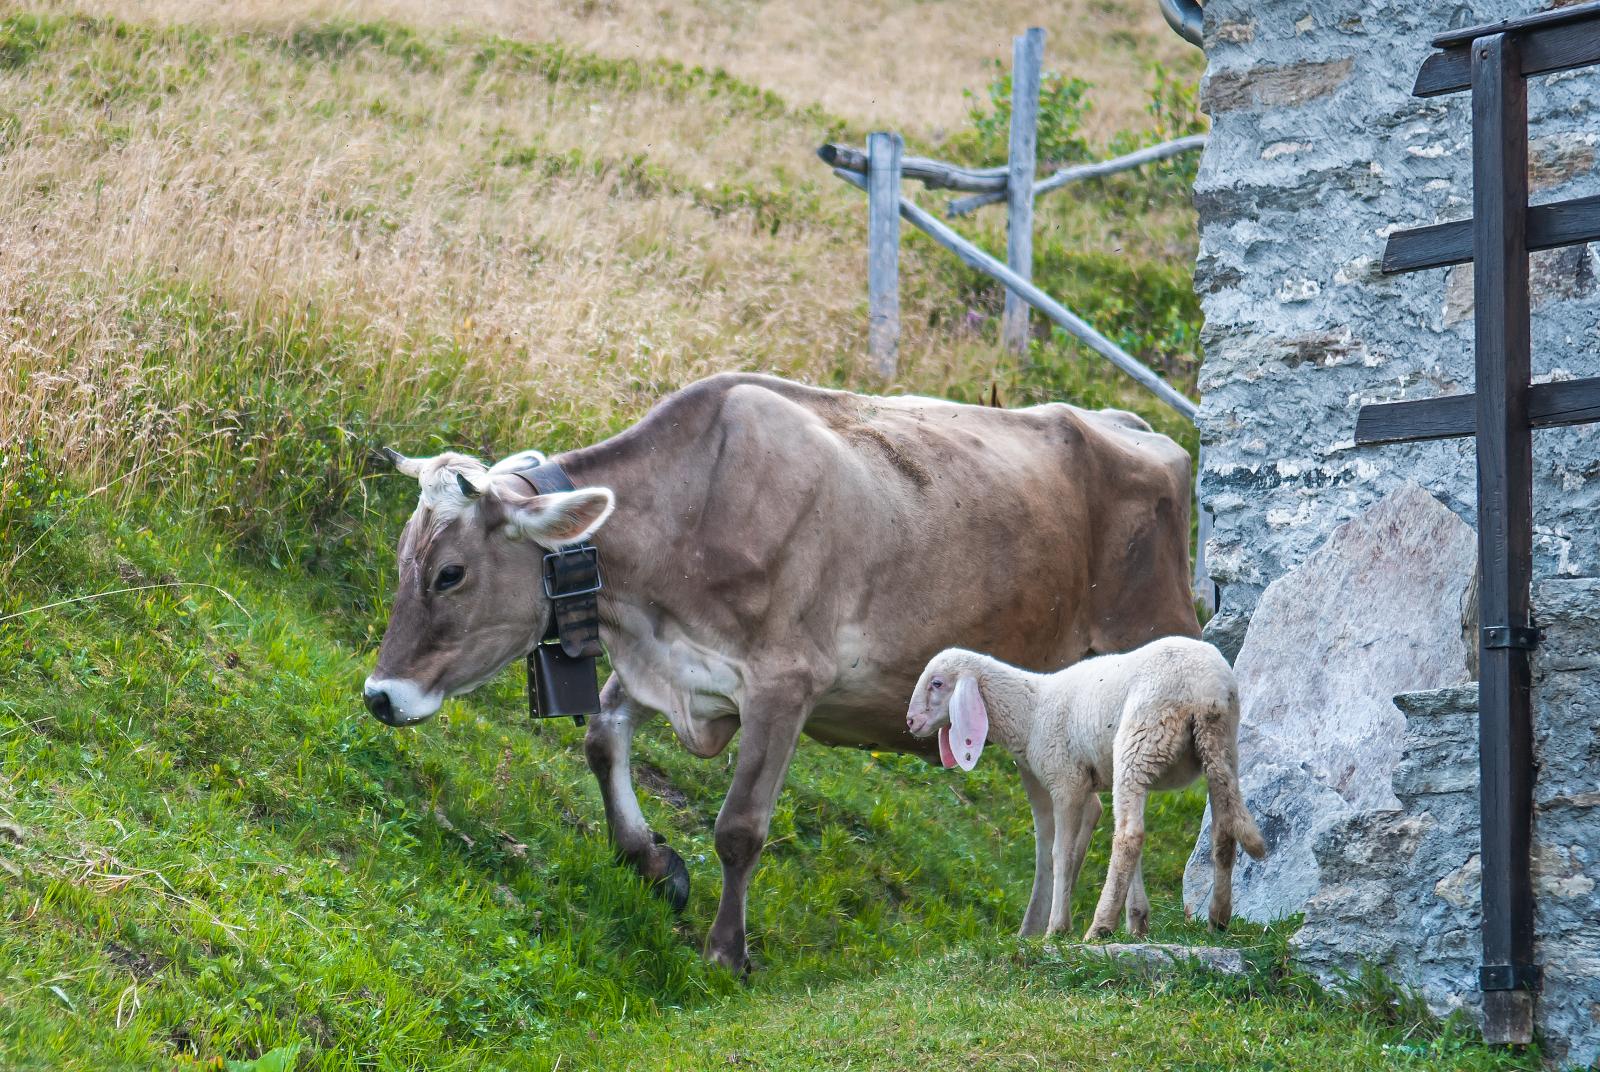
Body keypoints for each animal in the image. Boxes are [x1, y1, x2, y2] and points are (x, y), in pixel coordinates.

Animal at [363, 374, 1203, 979]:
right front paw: (653, 862)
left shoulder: (783, 683)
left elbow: (738, 829)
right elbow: (602, 738)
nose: (379, 696)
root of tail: (1133, 424)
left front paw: (725, 954)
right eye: (402, 555)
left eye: (449, 573)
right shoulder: (673, 663)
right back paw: (1059, 934)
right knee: (1059, 816)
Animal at [915, 640, 1260, 940]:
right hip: (1218, 748)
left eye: (937, 683)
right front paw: (1137, 922)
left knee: (1129, 836)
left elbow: (1061, 853)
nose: (911, 722)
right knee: (1221, 830)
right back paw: (1218, 917)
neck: (1030, 712)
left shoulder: (1066, 781)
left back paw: (1099, 926)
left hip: (1142, 738)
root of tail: (1206, 688)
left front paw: (1056, 928)